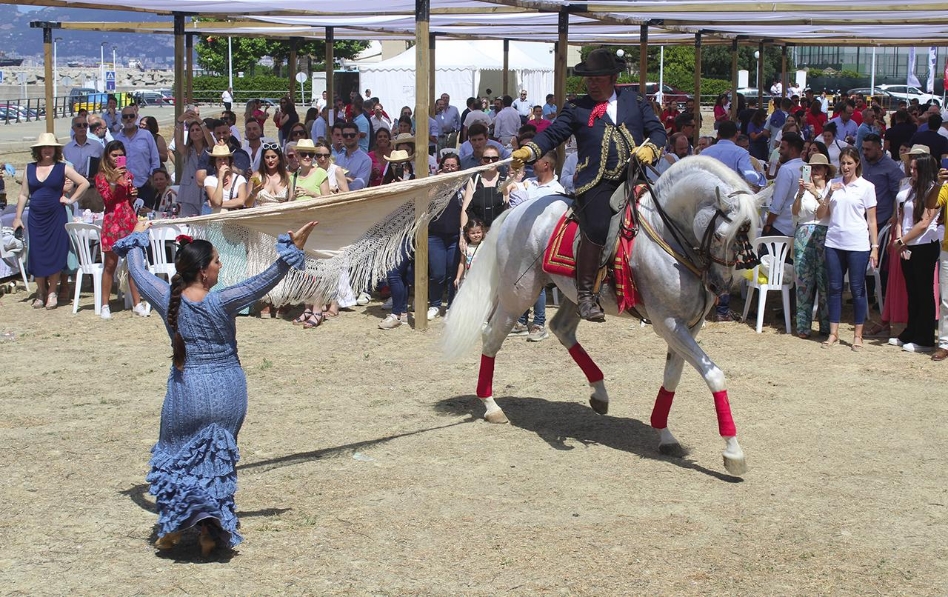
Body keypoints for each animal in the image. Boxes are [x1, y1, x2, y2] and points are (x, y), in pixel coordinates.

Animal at [442, 157, 764, 474]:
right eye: (722, 234)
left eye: (751, 234)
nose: (721, 285)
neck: (665, 232)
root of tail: (515, 211)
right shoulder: (668, 324)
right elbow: (715, 375)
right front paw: (733, 452)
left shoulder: (688, 326)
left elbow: (672, 377)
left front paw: (665, 434)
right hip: (517, 295)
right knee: (491, 337)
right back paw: (492, 406)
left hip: (572, 293)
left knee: (561, 328)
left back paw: (599, 394)